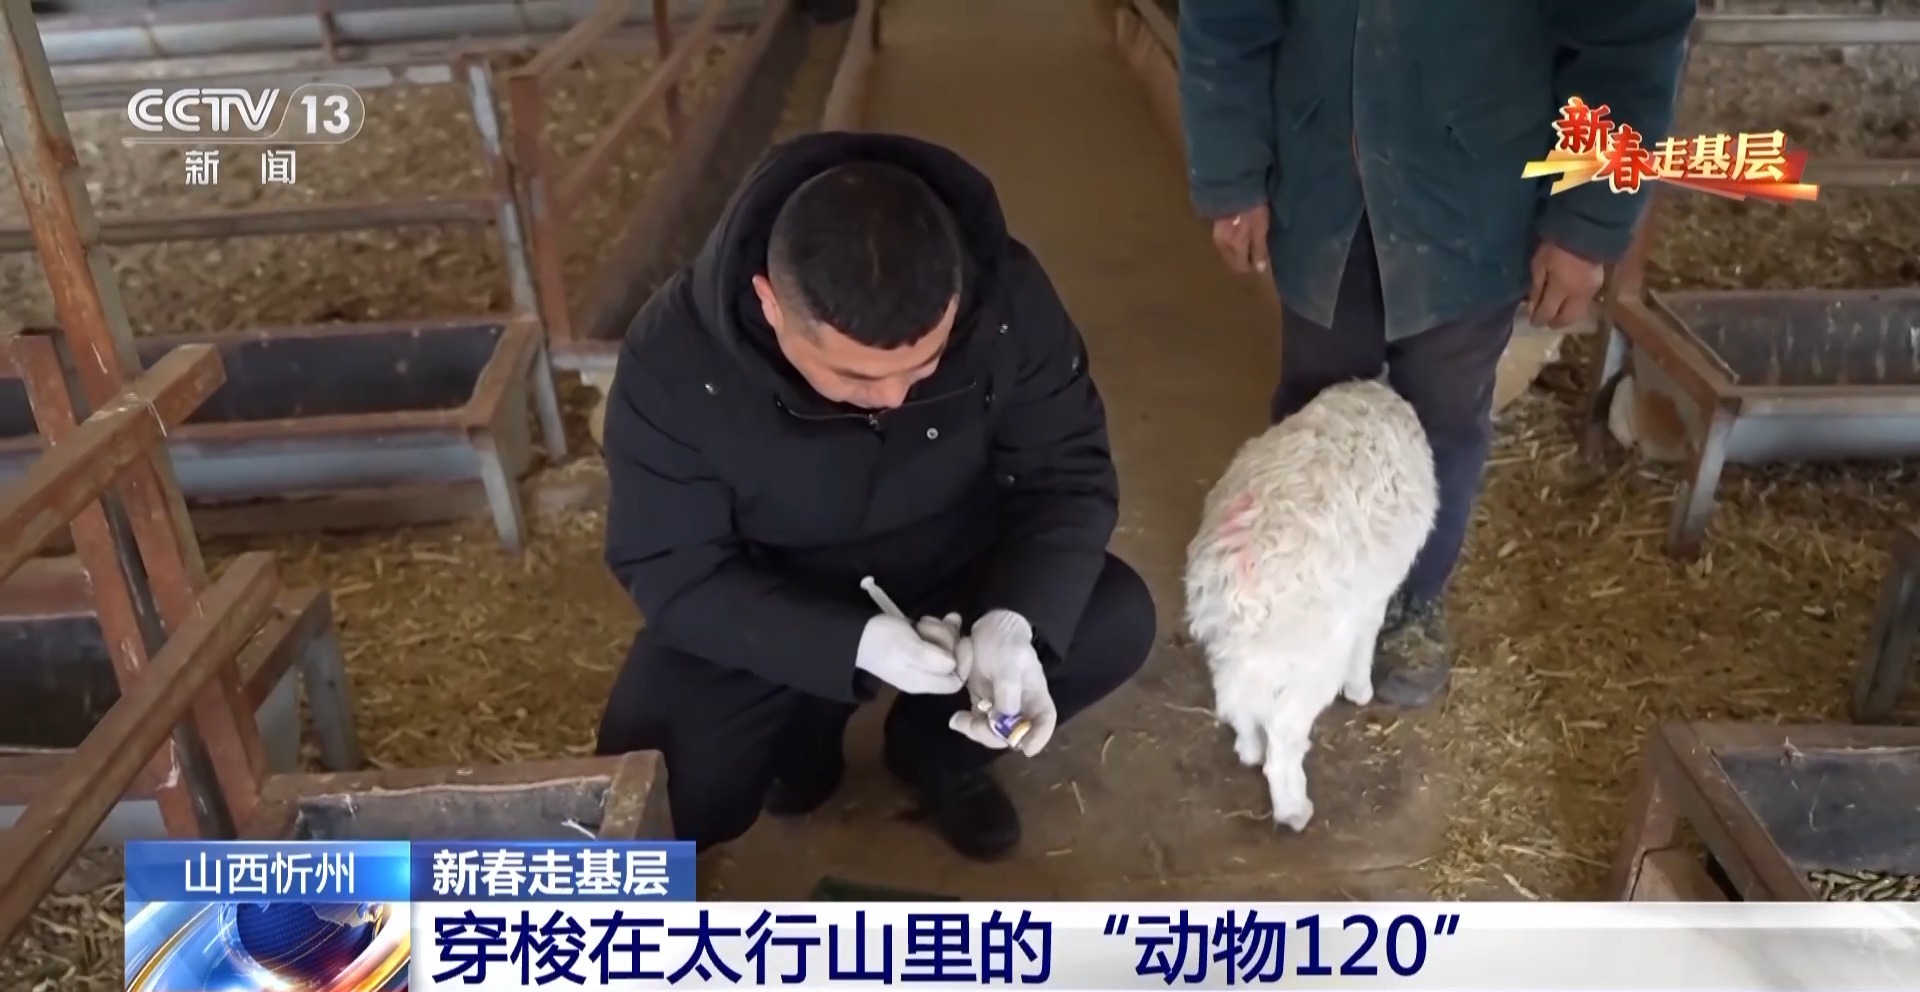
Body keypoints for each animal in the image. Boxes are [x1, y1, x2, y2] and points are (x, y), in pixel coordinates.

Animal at [1183, 379, 1439, 831]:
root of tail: (1244, 572)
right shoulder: (1371, 596)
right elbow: (1365, 641)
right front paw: (1360, 691)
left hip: (1235, 651)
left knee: (1238, 703)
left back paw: (1248, 749)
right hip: (1308, 664)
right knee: (1283, 742)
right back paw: (1293, 810)